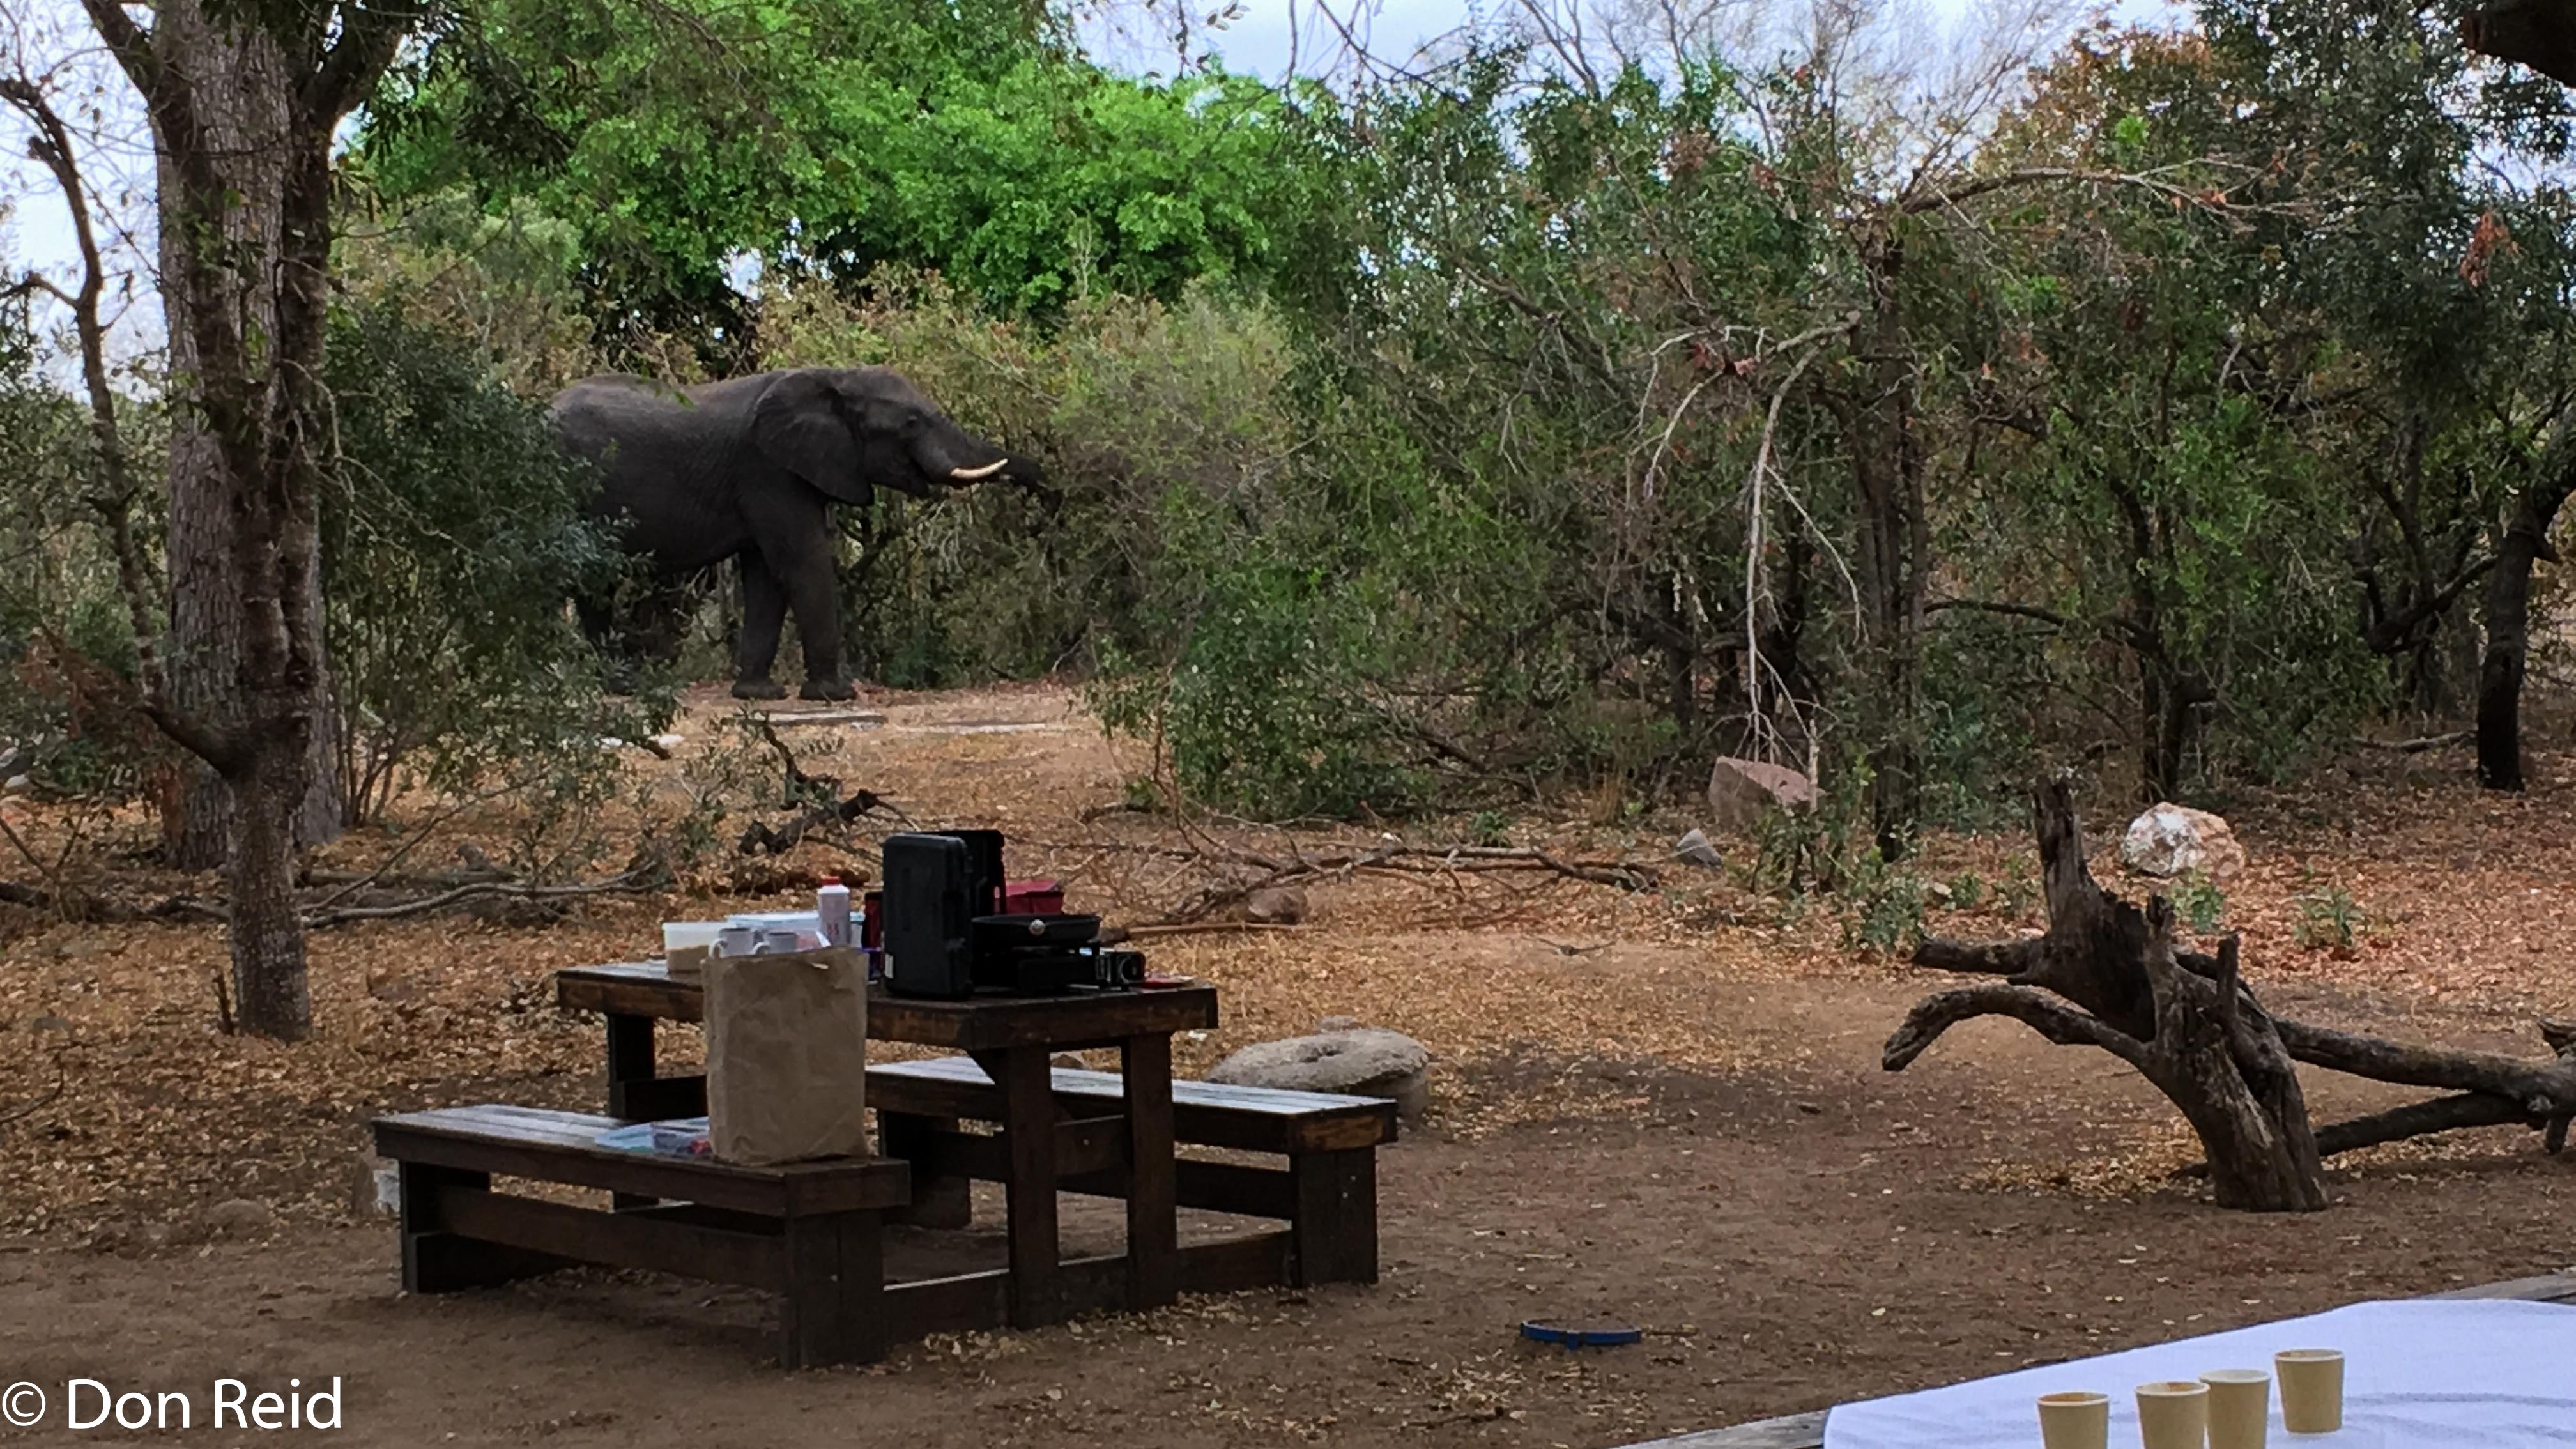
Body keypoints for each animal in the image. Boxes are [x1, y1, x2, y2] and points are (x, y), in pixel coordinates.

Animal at [550, 366, 1042, 701]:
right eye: (911, 423)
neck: (832, 379)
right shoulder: (768, 470)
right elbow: (802, 559)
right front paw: (836, 694)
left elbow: (767, 576)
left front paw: (759, 694)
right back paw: (618, 686)